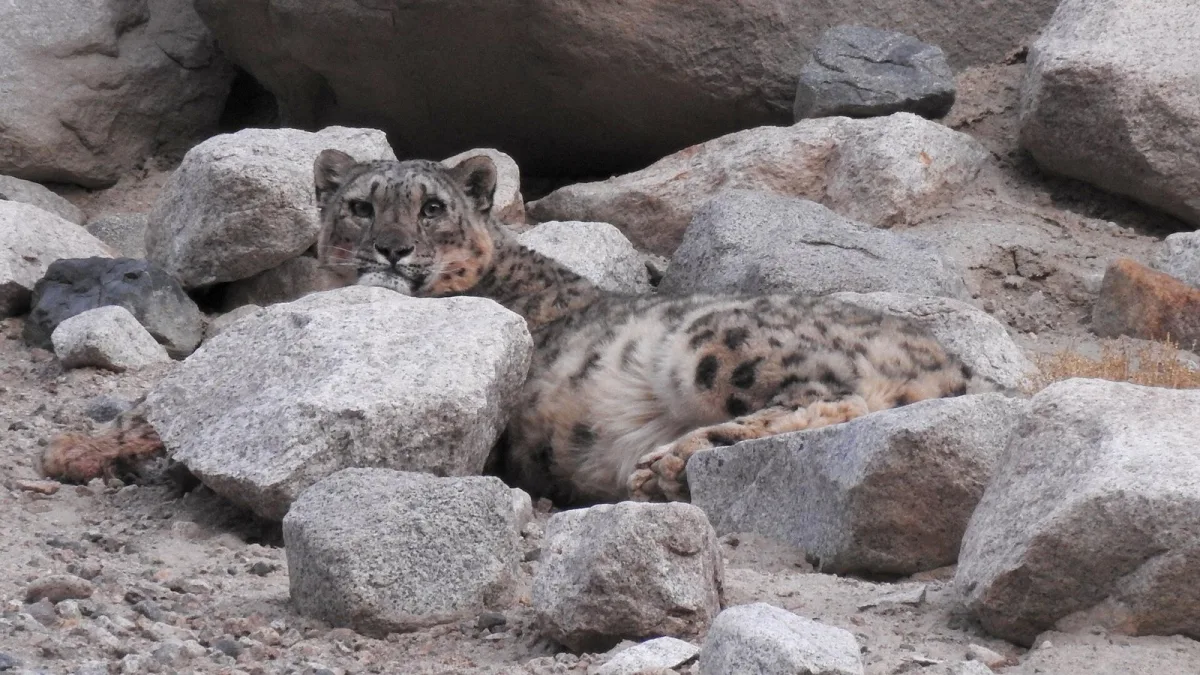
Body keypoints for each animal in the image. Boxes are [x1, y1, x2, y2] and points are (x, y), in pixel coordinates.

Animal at [42, 150, 995, 505]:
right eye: (359, 205)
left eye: (431, 207)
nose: (391, 249)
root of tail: (946, 358)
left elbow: (166, 411)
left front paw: (82, 445)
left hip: (724, 342)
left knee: (829, 399)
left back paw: (669, 461)